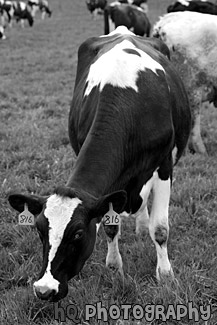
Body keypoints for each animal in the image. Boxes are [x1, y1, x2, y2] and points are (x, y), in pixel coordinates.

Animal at [8, 26, 192, 302]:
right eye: (40, 231)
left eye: (78, 234)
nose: (44, 289)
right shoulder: (110, 188)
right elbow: (110, 225)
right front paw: (114, 267)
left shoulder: (164, 166)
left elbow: (160, 229)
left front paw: (166, 276)